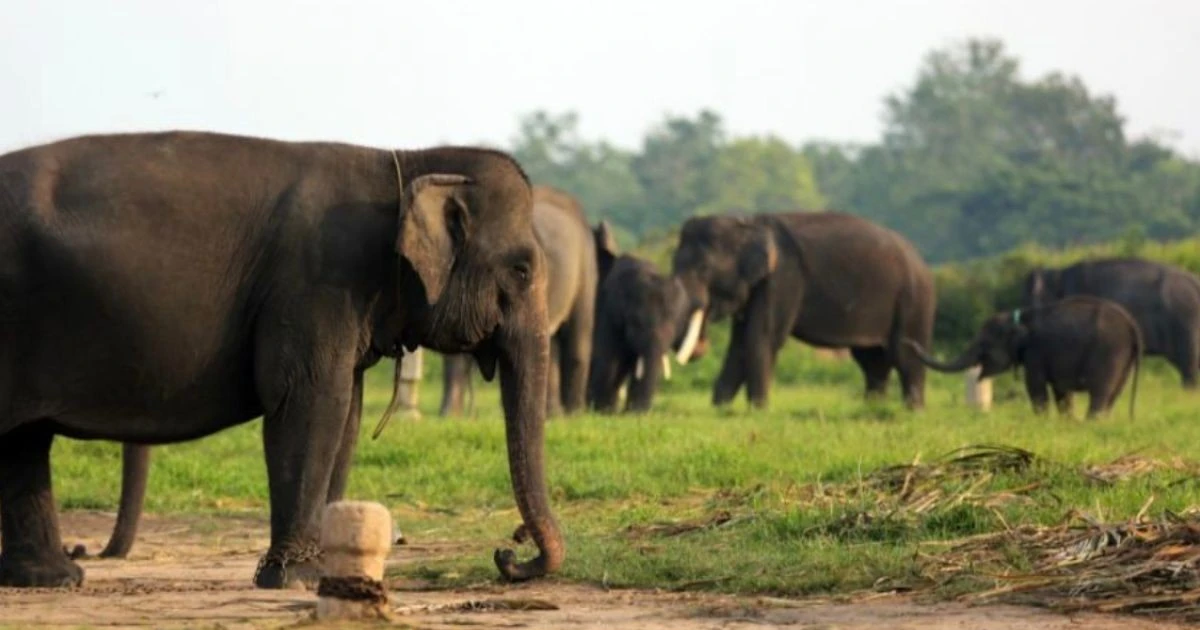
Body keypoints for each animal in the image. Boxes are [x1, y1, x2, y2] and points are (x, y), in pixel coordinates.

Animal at [0, 130, 563, 588]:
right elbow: (311, 402)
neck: (407, 160)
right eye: (522, 270)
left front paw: (326, 573)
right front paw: (294, 580)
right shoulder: (317, 282)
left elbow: (347, 413)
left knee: (25, 441)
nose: (508, 550)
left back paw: (53, 578)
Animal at [586, 221, 692, 413]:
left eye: (674, 328)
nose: (640, 412)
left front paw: (629, 414)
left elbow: (633, 365)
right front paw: (602, 412)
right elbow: (608, 361)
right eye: (636, 323)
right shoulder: (607, 311)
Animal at [670, 211, 937, 410]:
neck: (748, 222)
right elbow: (739, 344)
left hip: (914, 301)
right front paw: (720, 410)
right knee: (872, 361)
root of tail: (921, 261)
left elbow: (761, 339)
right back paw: (873, 407)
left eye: (704, 269)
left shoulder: (782, 279)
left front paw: (758, 411)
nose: (701, 343)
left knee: (905, 356)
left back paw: (913, 411)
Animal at [906, 296, 1142, 418]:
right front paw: (1065, 421)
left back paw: (1090, 422)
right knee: (1113, 393)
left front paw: (1043, 420)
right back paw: (1099, 422)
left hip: (1109, 351)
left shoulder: (1036, 352)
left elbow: (1035, 386)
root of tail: (1132, 325)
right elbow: (1061, 390)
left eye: (984, 344)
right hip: (1123, 358)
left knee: (1100, 391)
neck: (1019, 317)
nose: (907, 341)